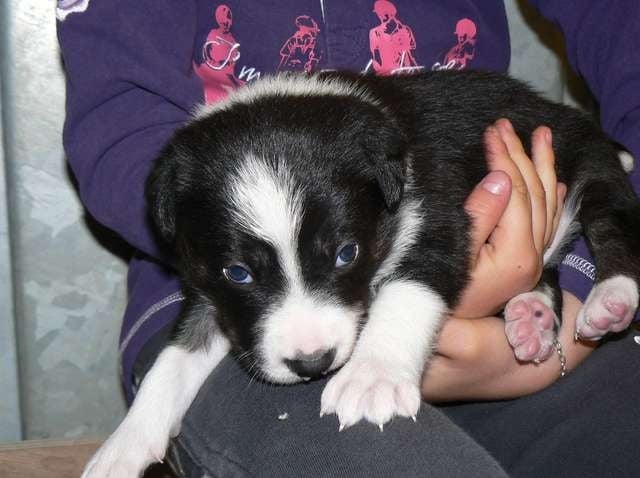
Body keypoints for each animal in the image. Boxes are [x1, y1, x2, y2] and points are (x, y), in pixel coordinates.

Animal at [85, 69, 640, 476]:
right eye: (239, 273)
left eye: (345, 254)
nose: (312, 363)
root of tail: (564, 110)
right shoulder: (208, 288)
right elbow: (175, 359)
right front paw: (122, 448)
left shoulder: (439, 219)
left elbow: (406, 293)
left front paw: (372, 378)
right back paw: (531, 318)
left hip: (590, 166)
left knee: (613, 224)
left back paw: (609, 300)